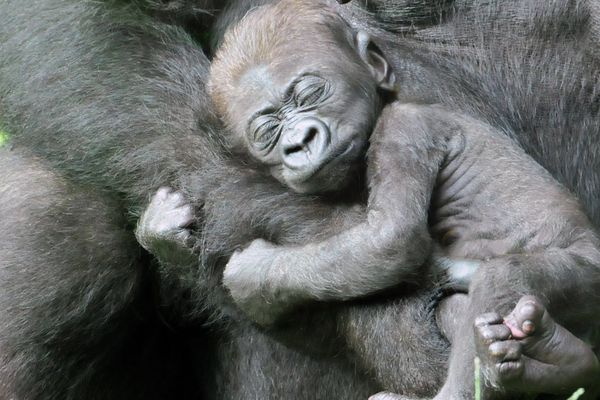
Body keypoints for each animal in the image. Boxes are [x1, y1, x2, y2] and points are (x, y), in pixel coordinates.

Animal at [0, 0, 596, 400]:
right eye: (266, 130)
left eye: (310, 93)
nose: (300, 141)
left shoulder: (401, 131)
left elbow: (388, 238)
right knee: (58, 203)